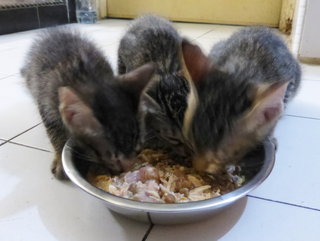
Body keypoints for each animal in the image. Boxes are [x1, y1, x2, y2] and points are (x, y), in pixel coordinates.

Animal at [21, 27, 154, 179]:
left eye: (138, 149)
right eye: (113, 158)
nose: (126, 171)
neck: (88, 76)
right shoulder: (46, 105)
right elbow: (55, 134)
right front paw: (59, 160)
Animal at [181, 26, 302, 173]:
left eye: (219, 158)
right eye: (191, 143)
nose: (198, 169)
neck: (242, 70)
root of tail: (263, 28)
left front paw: (270, 138)